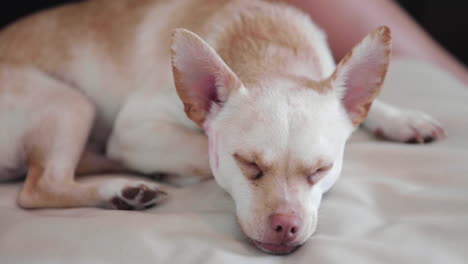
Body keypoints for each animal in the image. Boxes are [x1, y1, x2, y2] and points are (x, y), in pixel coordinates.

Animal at [0, 0, 446, 256]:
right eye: (248, 165)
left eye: (321, 170)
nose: (286, 225)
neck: (269, 51)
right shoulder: (134, 129)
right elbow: (201, 155)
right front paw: (182, 169)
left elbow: (363, 106)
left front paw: (403, 118)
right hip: (71, 102)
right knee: (40, 187)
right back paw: (123, 189)